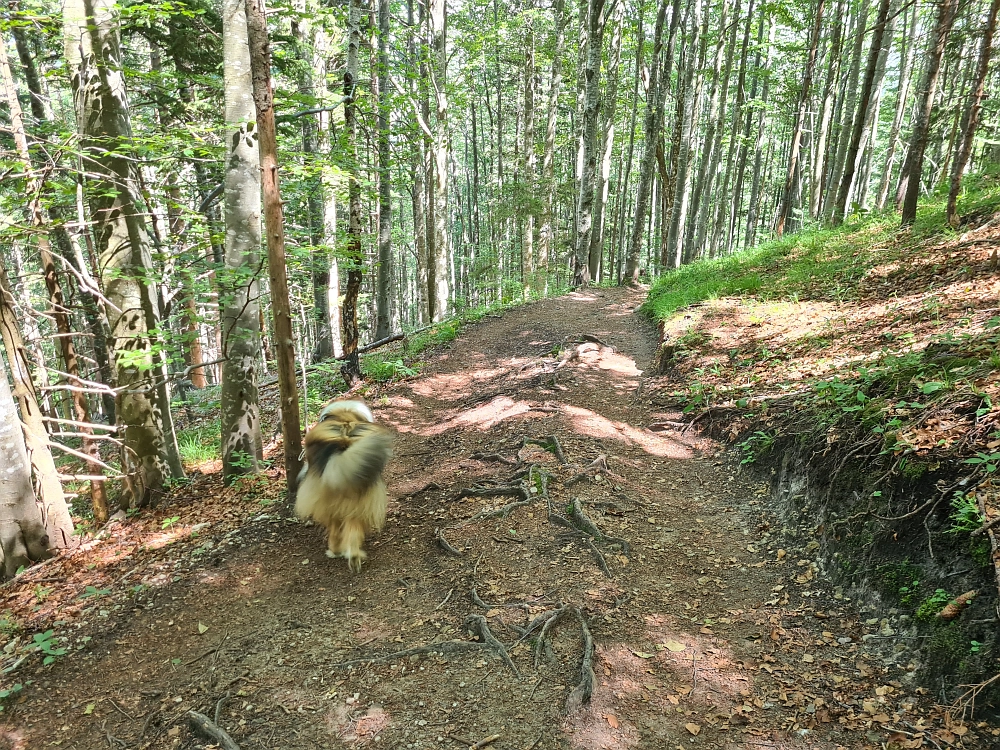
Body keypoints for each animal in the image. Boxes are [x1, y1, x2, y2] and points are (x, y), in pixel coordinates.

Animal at [292, 402, 390, 572]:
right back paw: (354, 558)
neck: (345, 412)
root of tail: (344, 440)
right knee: (353, 531)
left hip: (330, 502)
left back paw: (335, 551)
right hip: (359, 500)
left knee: (336, 529)